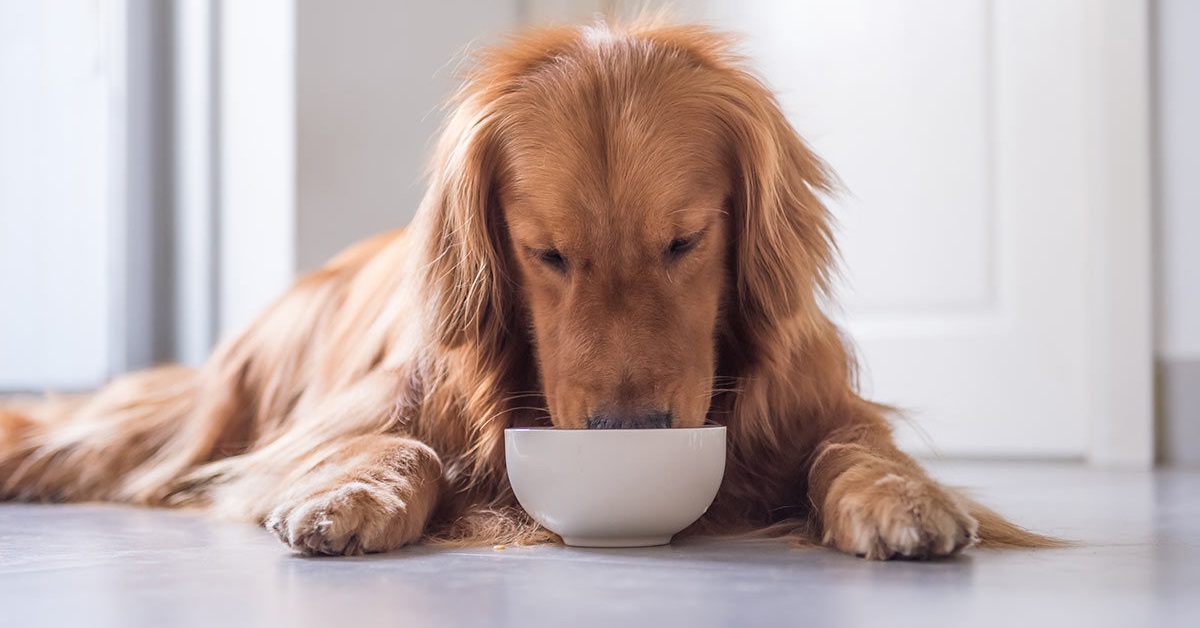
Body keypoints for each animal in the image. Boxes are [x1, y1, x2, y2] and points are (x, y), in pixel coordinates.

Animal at [0, 19, 1056, 559]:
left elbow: (851, 450)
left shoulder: (820, 405)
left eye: (685, 240)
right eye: (546, 254)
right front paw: (353, 495)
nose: (630, 433)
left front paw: (902, 499)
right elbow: (397, 446)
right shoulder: (352, 414)